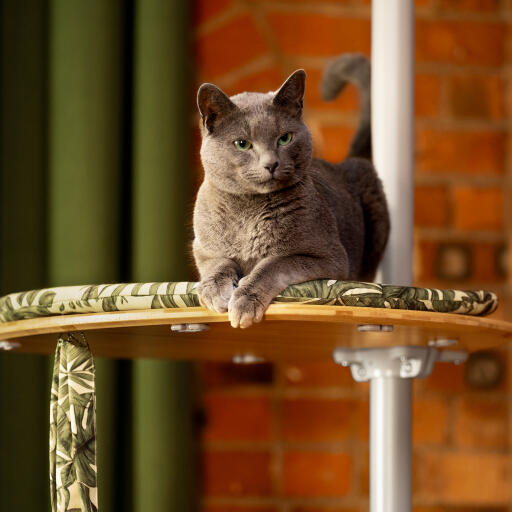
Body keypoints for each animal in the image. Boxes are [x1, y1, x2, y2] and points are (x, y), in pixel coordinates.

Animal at [192, 54, 388, 328]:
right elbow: (217, 263)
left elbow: (274, 263)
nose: (271, 164)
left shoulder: (329, 256)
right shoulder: (202, 248)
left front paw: (244, 302)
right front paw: (215, 291)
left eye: (285, 138)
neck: (248, 211)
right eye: (242, 144)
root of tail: (343, 162)